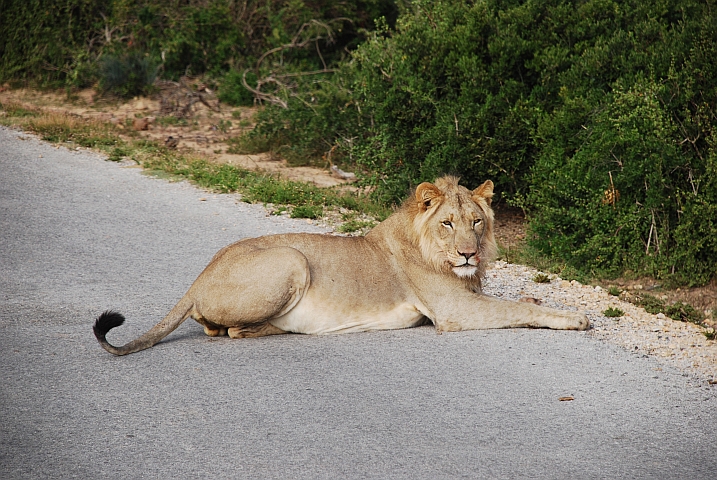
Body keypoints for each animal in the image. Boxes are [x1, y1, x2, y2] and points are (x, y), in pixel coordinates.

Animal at [93, 174, 588, 354]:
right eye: (448, 223)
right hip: (292, 259)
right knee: (226, 331)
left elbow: (522, 300)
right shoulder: (454, 311)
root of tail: (198, 279)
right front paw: (576, 318)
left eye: (477, 222)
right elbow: (517, 310)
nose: (469, 253)